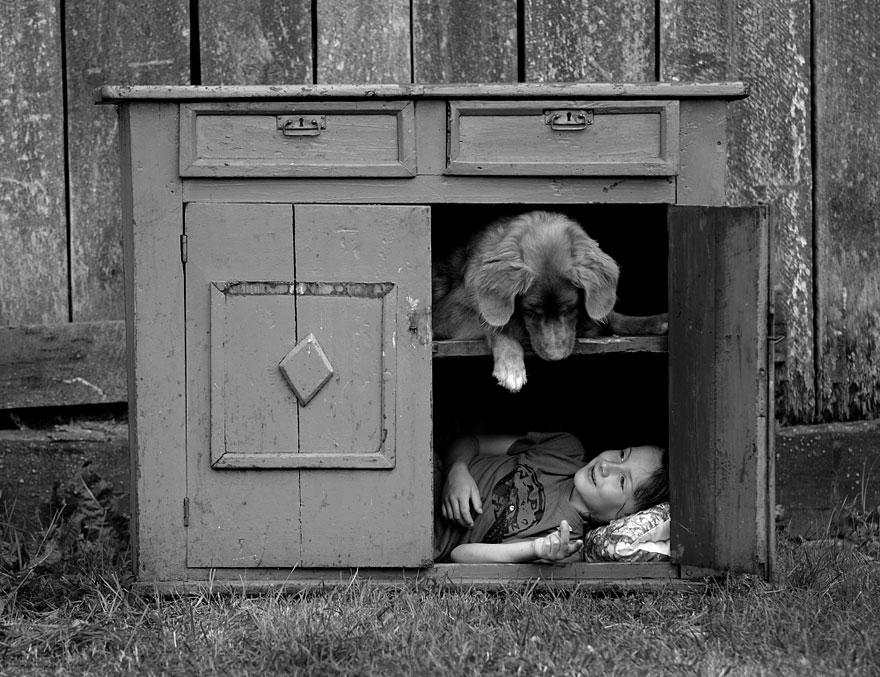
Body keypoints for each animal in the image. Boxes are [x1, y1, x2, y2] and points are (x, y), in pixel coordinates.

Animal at [434, 211, 668, 390]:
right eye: (530, 312)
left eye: (570, 309)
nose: (556, 357)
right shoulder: (446, 315)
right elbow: (494, 325)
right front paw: (511, 364)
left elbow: (612, 316)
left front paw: (654, 321)